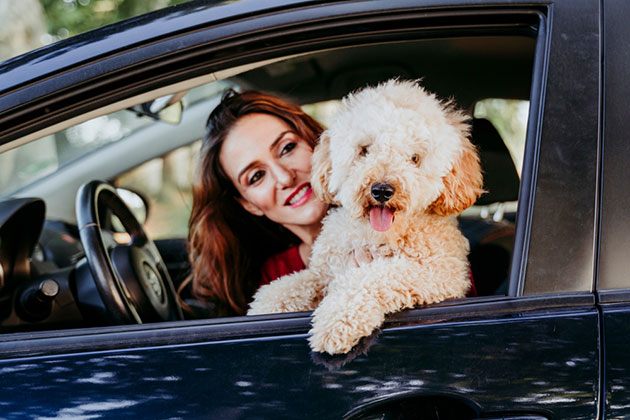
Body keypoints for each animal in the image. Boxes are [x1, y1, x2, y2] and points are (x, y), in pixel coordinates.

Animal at [247, 79, 484, 354]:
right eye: (364, 150)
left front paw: (336, 323)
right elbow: (289, 286)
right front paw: (260, 309)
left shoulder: (440, 273)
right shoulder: (324, 273)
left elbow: (371, 278)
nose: (381, 190)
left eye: (414, 158)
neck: (374, 236)